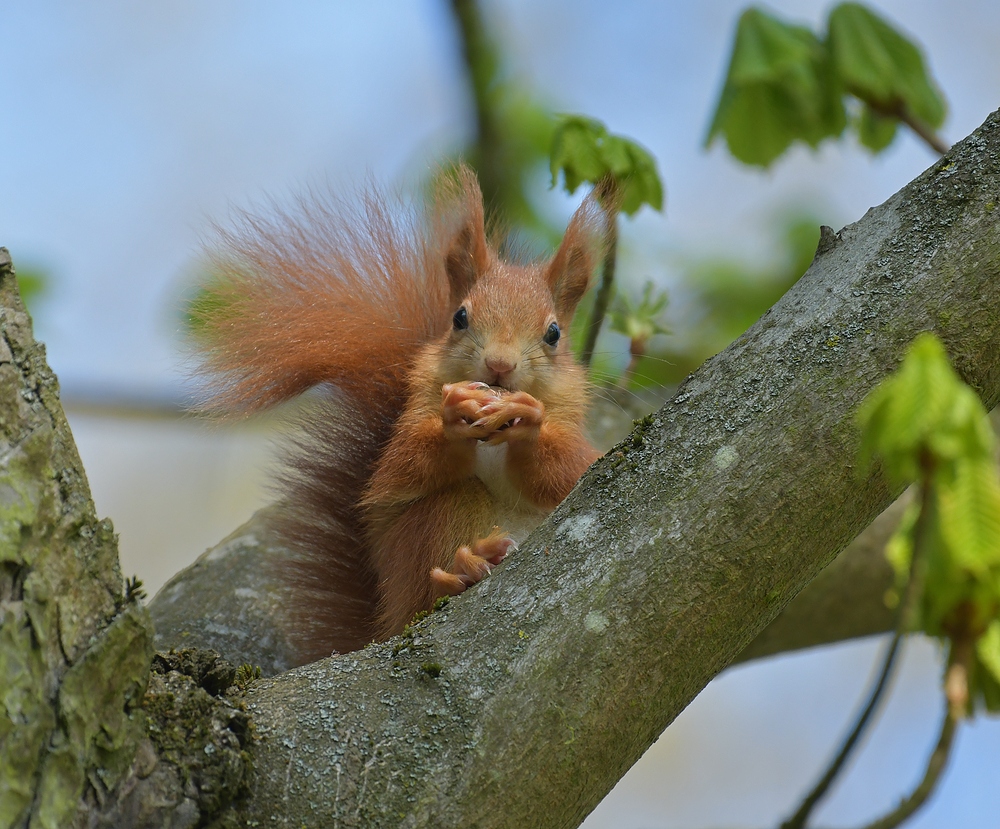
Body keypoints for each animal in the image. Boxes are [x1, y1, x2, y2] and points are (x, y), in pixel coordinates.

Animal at [193, 165, 600, 664]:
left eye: (554, 333)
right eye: (459, 318)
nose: (499, 365)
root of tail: (386, 617)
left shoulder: (577, 436)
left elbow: (566, 473)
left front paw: (528, 421)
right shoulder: (411, 421)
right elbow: (403, 466)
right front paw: (451, 421)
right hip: (430, 533)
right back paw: (462, 571)